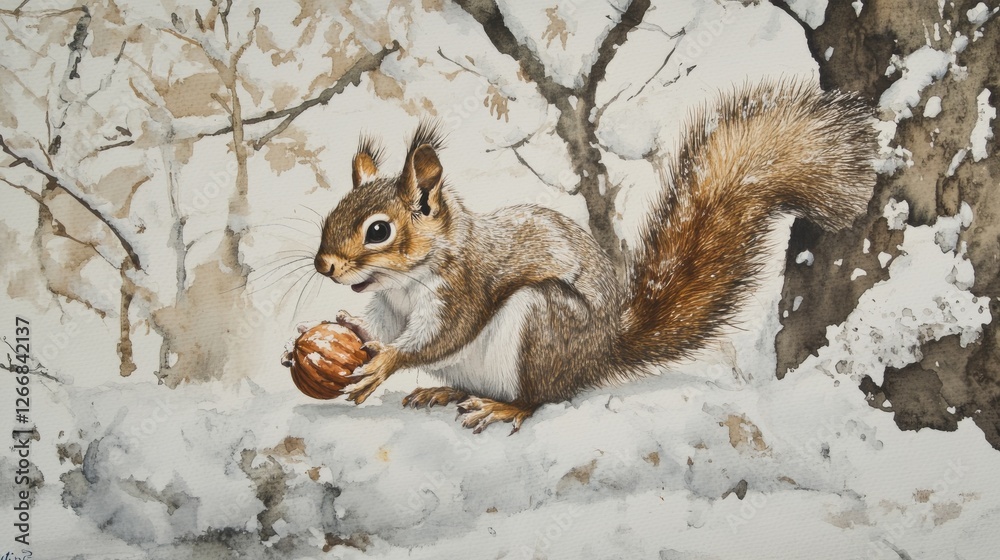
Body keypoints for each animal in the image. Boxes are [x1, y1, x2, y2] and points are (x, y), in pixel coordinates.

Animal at [313, 81, 875, 434]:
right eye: (331, 215)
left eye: (379, 231)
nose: (324, 266)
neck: (404, 285)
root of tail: (599, 354)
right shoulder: (391, 309)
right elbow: (382, 330)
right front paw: (356, 335)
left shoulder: (464, 287)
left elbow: (442, 335)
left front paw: (386, 363)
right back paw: (445, 394)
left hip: (541, 324)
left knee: (537, 397)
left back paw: (501, 408)